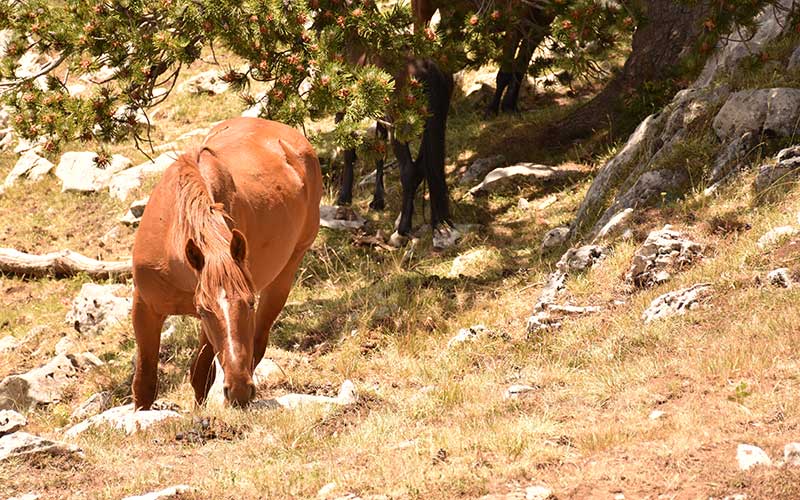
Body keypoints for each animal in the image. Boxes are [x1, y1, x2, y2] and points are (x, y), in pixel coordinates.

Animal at [131, 117, 322, 409]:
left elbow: (200, 376)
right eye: (204, 309)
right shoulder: (145, 308)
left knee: (257, 346)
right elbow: (145, 385)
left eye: (250, 302)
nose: (240, 391)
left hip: (285, 275)